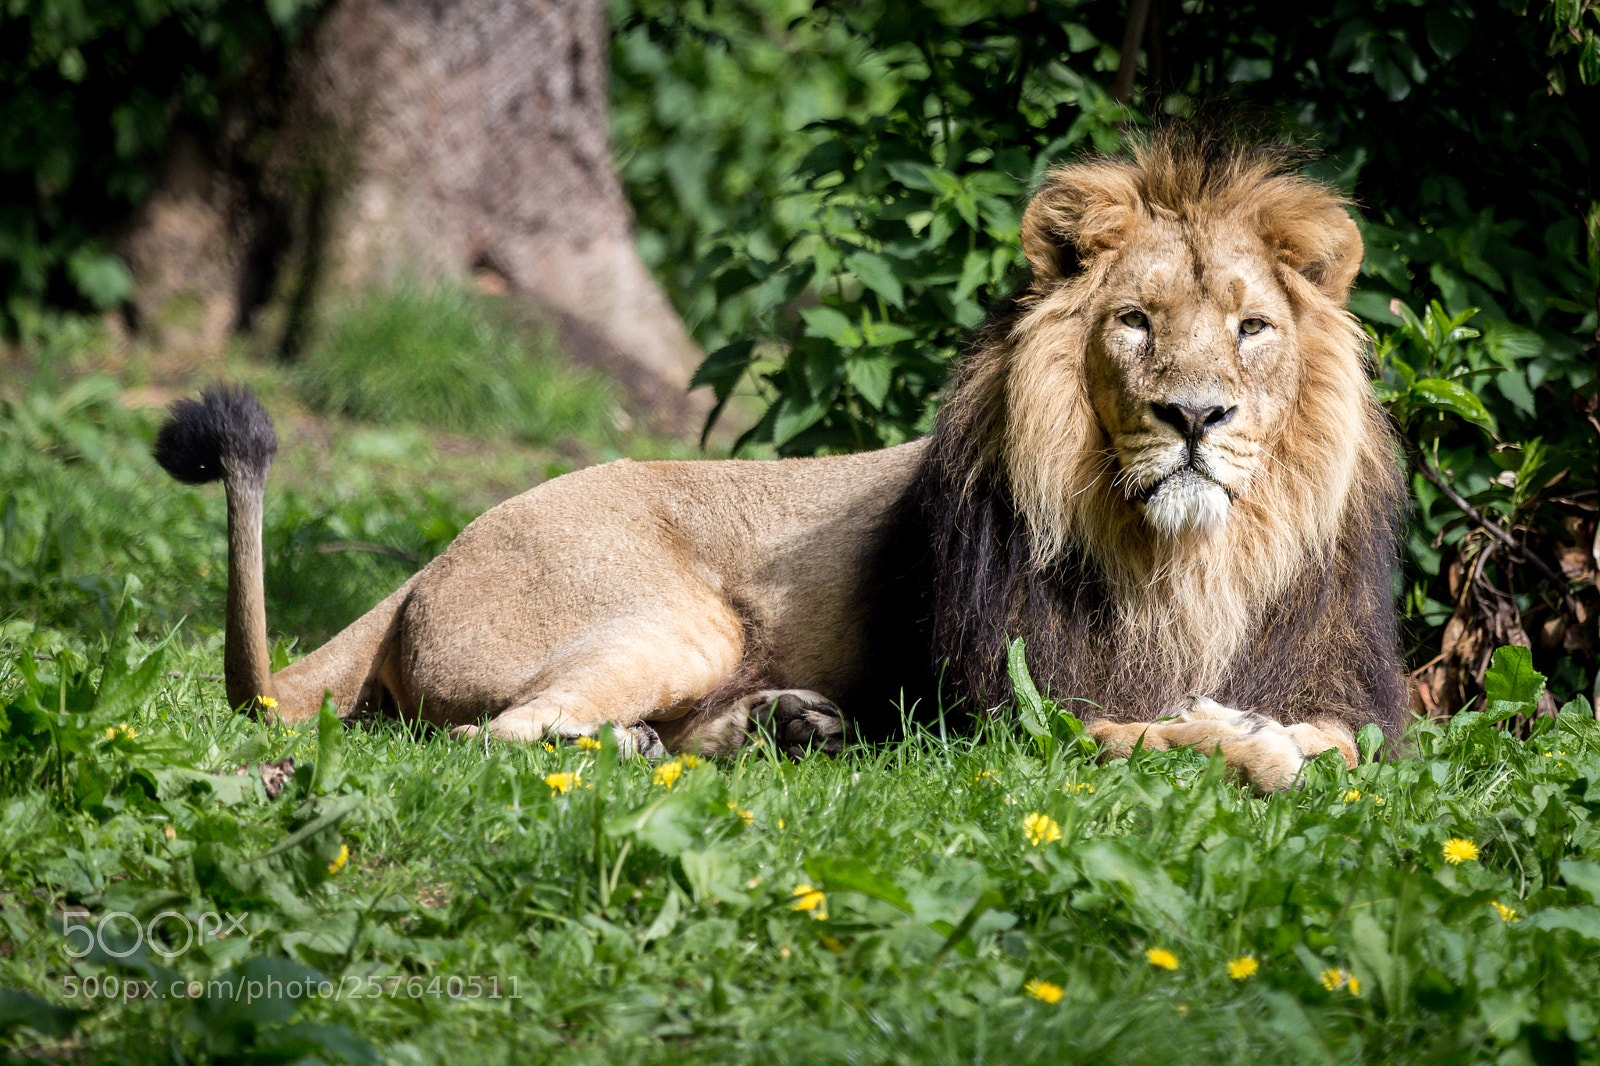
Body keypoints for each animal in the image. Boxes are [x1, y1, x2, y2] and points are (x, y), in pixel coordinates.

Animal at [155, 131, 1408, 791]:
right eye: (1136, 322)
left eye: (1251, 327)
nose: (1194, 415)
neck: (1187, 558)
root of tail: (428, 561)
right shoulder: (1002, 715)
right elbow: (1172, 734)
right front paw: (1251, 742)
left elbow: (1343, 737)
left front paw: (1278, 732)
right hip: (677, 618)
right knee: (491, 738)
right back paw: (646, 740)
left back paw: (778, 728)